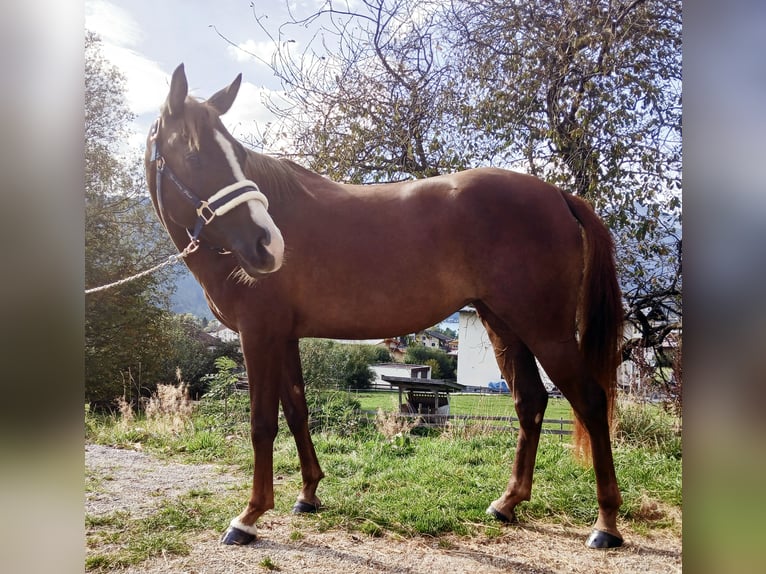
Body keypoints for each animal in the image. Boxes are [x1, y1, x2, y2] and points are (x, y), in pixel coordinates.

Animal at [147, 65, 628, 552]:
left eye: (235, 155)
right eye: (195, 155)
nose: (269, 245)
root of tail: (558, 195)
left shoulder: (258, 334)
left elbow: (262, 423)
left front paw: (249, 517)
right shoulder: (283, 336)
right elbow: (298, 411)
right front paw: (308, 494)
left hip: (546, 331)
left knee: (591, 401)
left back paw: (606, 524)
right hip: (504, 325)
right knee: (530, 401)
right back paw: (507, 503)